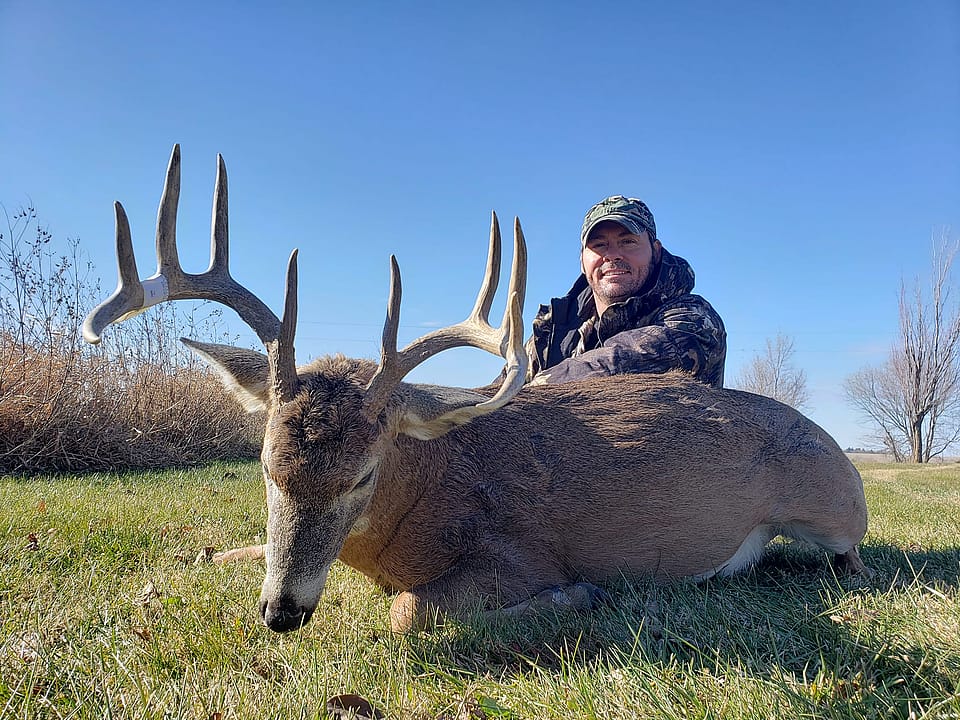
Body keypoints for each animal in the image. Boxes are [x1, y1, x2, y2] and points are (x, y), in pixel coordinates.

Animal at [82, 146, 869, 634]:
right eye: (267, 468)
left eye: (364, 473)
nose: (283, 613)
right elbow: (227, 550)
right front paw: (210, 558)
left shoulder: (514, 554)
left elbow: (408, 611)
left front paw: (581, 595)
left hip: (837, 510)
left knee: (849, 561)